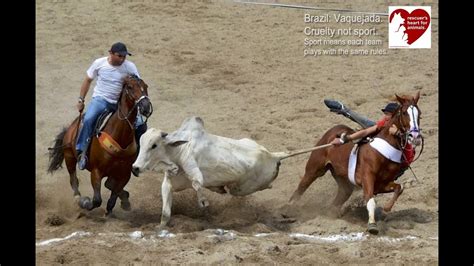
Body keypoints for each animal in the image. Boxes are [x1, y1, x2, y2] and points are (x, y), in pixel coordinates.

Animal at [47, 74, 153, 215]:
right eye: (130, 87)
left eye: (146, 86)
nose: (146, 107)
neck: (119, 137)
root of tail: (72, 126)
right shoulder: (96, 171)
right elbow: (97, 200)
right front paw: (85, 202)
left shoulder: (125, 174)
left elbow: (114, 194)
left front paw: (121, 204)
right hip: (69, 156)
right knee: (73, 179)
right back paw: (78, 198)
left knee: (108, 184)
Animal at [131, 116, 328, 227]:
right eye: (141, 142)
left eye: (154, 145)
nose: (135, 168)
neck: (179, 150)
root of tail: (272, 155)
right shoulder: (169, 182)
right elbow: (165, 212)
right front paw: (161, 228)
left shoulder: (193, 168)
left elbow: (197, 183)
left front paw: (203, 201)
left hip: (242, 189)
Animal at [288, 92, 422, 235]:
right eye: (404, 112)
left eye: (419, 113)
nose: (415, 136)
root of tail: (333, 130)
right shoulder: (367, 178)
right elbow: (370, 200)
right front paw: (372, 225)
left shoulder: (380, 184)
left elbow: (399, 188)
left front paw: (386, 209)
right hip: (314, 169)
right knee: (301, 187)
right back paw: (288, 210)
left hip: (343, 180)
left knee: (339, 197)